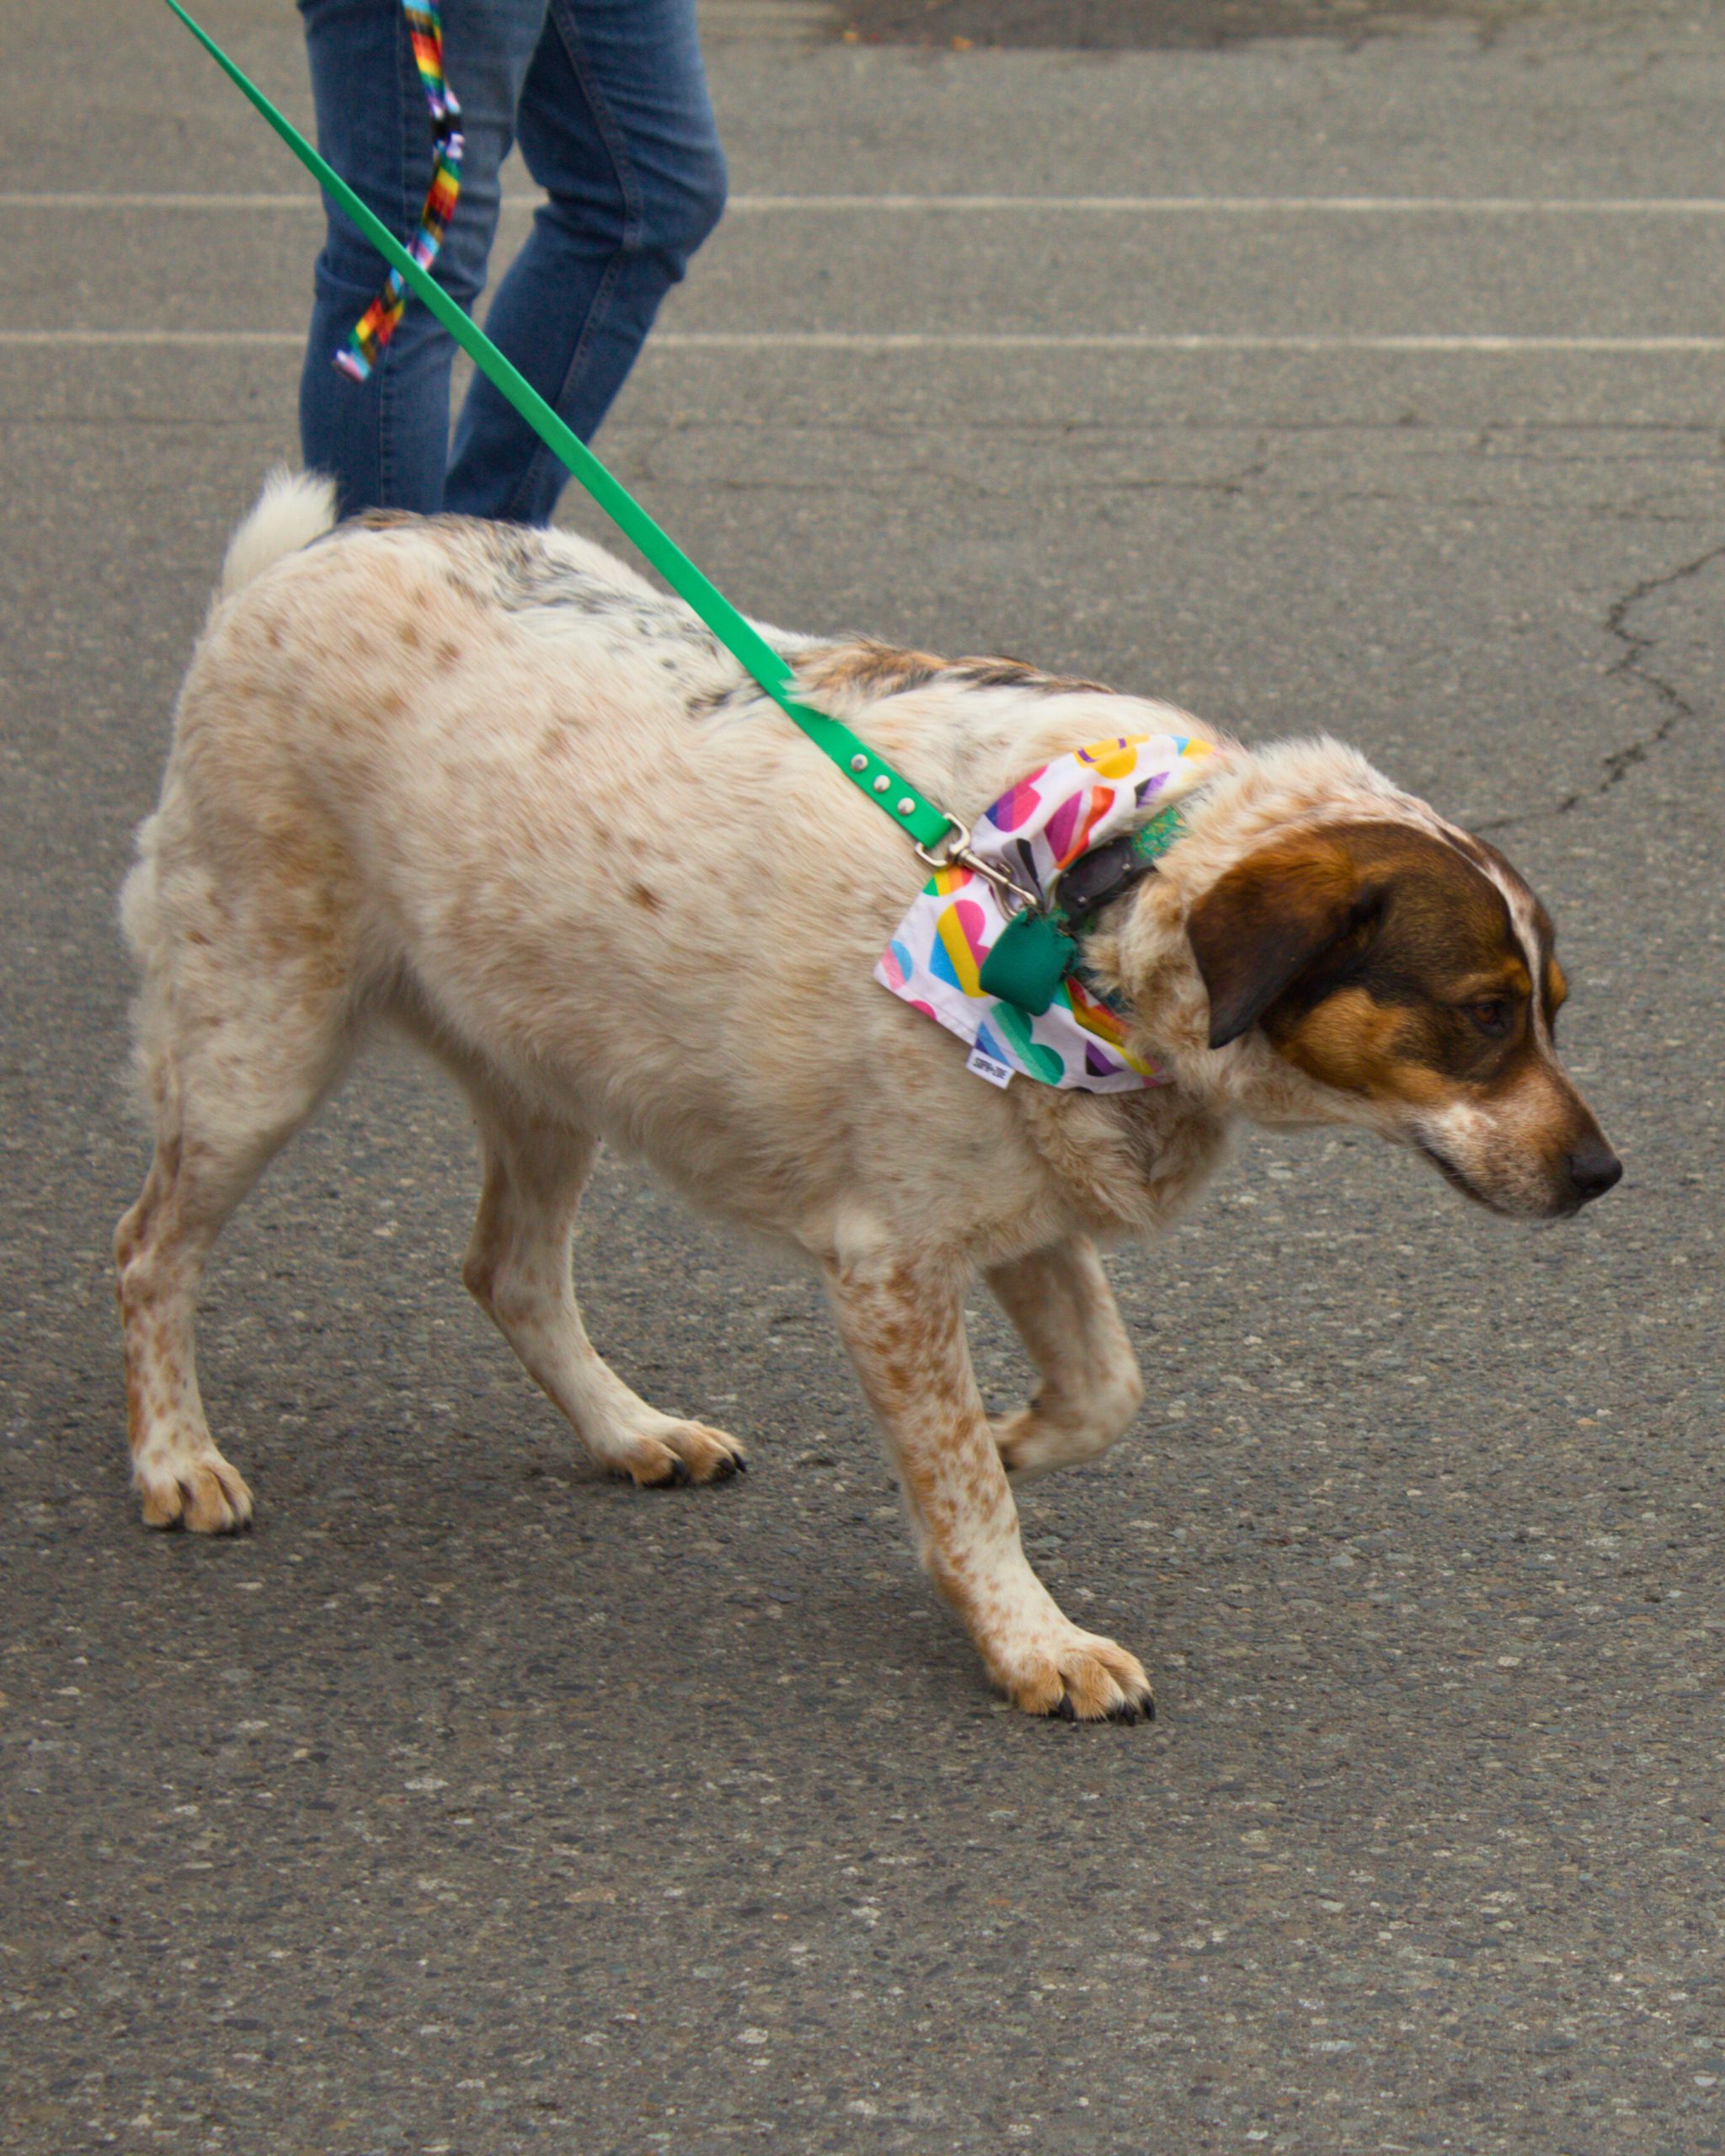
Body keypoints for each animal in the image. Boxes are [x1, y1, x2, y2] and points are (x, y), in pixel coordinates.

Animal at [114, 472, 1620, 1722]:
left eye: (1553, 1008)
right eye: (1484, 1015)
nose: (1605, 1175)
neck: (1093, 894)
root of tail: (301, 559)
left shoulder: (1025, 1209)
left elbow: (1102, 1394)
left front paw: (1016, 1445)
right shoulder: (892, 1263)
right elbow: (963, 1484)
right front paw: (1028, 1638)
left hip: (550, 1068)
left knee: (511, 1271)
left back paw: (629, 1432)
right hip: (259, 1040)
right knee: (147, 1254)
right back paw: (174, 1459)